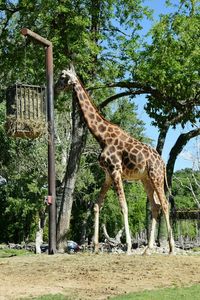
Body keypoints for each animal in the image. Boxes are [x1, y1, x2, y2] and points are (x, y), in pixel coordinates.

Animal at [60, 65, 174, 255]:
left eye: (63, 76)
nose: (57, 87)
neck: (102, 137)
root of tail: (163, 163)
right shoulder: (107, 174)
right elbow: (96, 205)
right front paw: (95, 248)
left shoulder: (115, 170)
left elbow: (123, 206)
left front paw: (127, 246)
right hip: (145, 179)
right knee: (155, 206)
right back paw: (147, 249)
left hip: (156, 176)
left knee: (165, 204)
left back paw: (171, 248)